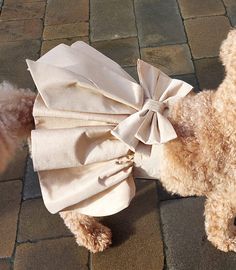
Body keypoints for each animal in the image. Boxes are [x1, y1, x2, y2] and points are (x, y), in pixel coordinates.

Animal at [0, 29, 235, 253]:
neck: (224, 116)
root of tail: (31, 106)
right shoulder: (224, 196)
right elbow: (219, 225)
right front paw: (228, 241)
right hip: (72, 179)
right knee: (72, 213)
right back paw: (93, 235)